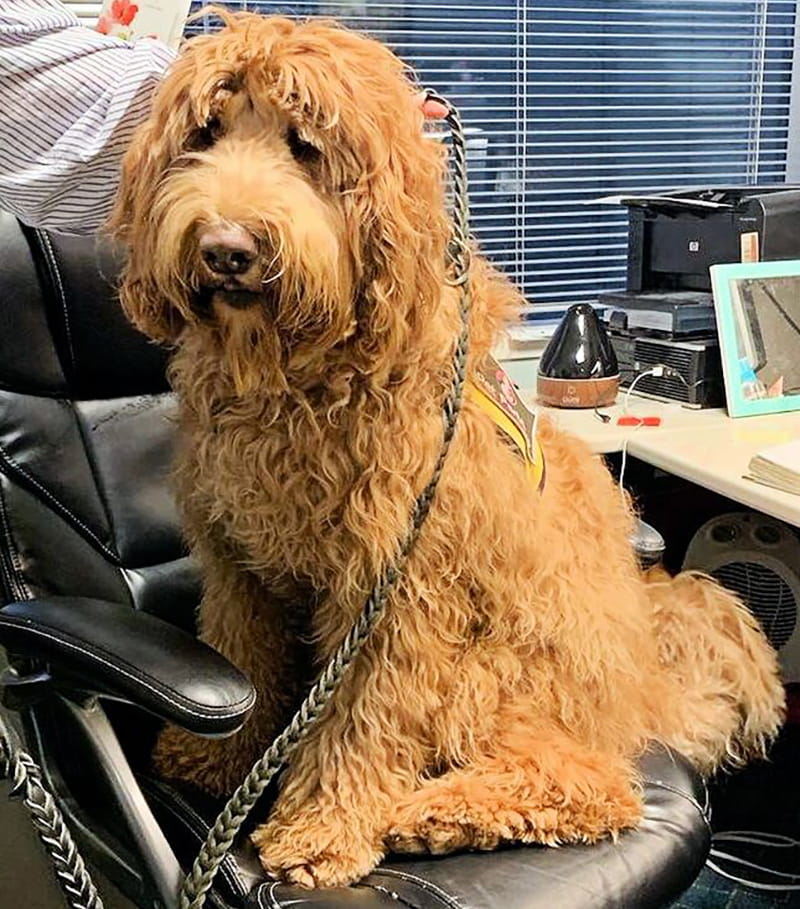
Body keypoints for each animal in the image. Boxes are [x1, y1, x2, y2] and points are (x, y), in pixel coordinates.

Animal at [109, 7, 784, 888]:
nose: (226, 247)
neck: (298, 375)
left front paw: (324, 827)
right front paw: (211, 757)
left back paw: (431, 812)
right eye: (206, 132)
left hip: (498, 671)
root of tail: (639, 691)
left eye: (305, 145)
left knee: (592, 781)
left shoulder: (395, 594)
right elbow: (242, 662)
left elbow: (361, 717)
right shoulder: (238, 567)